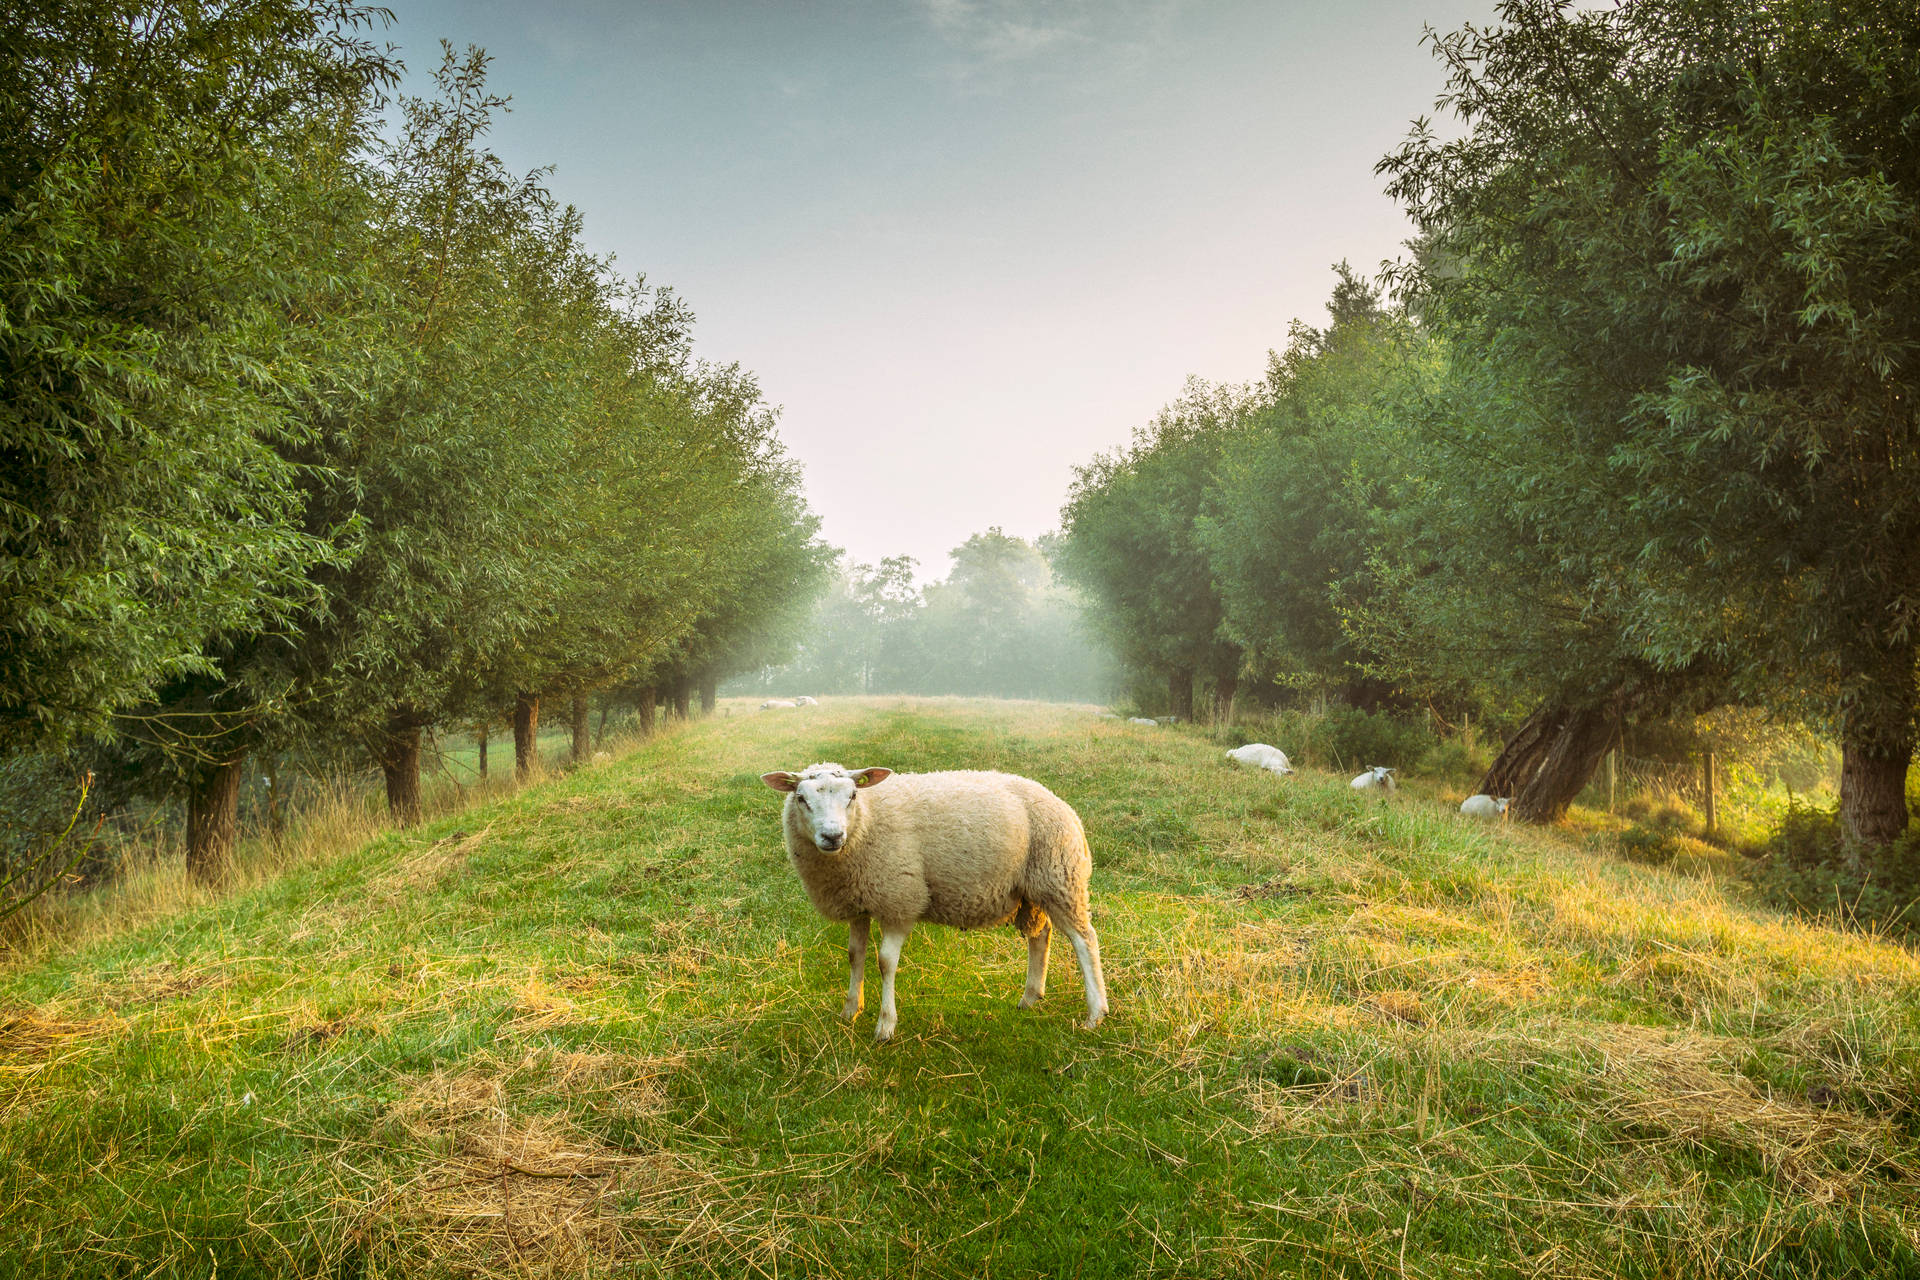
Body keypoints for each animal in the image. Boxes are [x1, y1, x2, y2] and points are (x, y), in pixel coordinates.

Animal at [752, 759, 1105, 1043]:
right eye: (801, 798)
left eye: (852, 796)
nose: (832, 836)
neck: (866, 821)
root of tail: (1065, 808)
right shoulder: (859, 902)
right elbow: (854, 955)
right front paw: (850, 1010)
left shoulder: (899, 899)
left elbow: (885, 962)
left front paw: (885, 1025)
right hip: (1030, 891)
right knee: (1041, 936)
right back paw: (1030, 997)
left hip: (1059, 877)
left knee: (1085, 940)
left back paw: (1096, 1013)